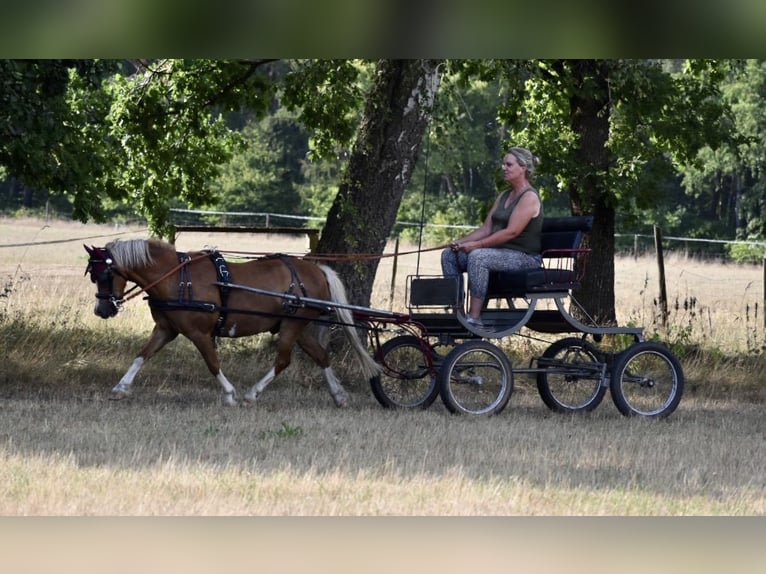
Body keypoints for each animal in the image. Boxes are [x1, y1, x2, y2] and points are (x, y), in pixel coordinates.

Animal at [84, 238, 380, 407]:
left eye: (104, 274)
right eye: (93, 275)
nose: (102, 310)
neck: (177, 278)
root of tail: (317, 269)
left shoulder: (199, 332)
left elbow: (212, 363)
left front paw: (229, 394)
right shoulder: (166, 329)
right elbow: (142, 356)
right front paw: (120, 388)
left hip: (291, 326)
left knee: (283, 361)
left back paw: (252, 394)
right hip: (298, 326)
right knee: (320, 356)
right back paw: (338, 395)